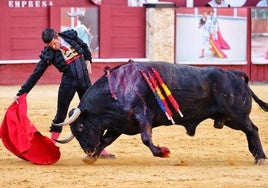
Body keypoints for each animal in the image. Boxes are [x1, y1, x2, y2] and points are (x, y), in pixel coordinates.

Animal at [55, 61, 268, 164]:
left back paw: (259, 157)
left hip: (237, 116)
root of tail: (234, 74)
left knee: (253, 129)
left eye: (80, 126)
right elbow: (105, 140)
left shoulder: (143, 115)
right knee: (250, 131)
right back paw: (256, 154)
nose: (88, 150)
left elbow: (145, 138)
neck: (117, 89)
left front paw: (162, 152)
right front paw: (91, 158)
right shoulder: (118, 126)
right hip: (233, 119)